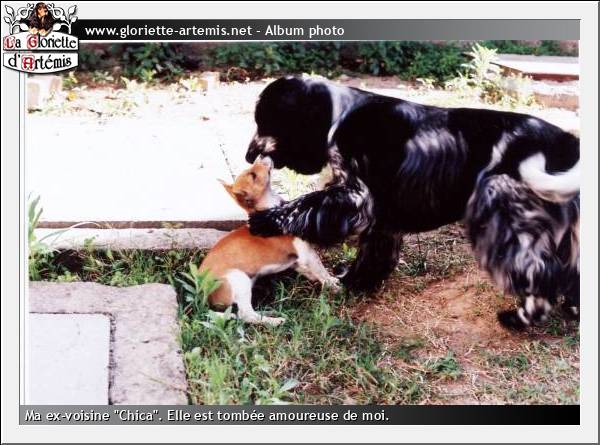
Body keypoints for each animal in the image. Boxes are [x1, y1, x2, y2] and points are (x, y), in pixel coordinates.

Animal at [199, 155, 340, 326]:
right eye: (253, 175)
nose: (261, 156)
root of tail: (201, 293)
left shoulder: (299, 261)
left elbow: (313, 272)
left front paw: (328, 279)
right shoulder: (307, 254)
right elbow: (321, 270)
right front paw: (333, 286)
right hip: (239, 280)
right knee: (247, 315)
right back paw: (274, 321)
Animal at [245, 76, 580, 330]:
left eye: (265, 121)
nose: (249, 155)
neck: (338, 117)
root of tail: (564, 143)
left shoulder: (357, 197)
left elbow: (307, 204)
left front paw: (268, 220)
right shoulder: (382, 217)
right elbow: (372, 254)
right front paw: (356, 282)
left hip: (507, 215)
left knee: (541, 273)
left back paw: (519, 319)